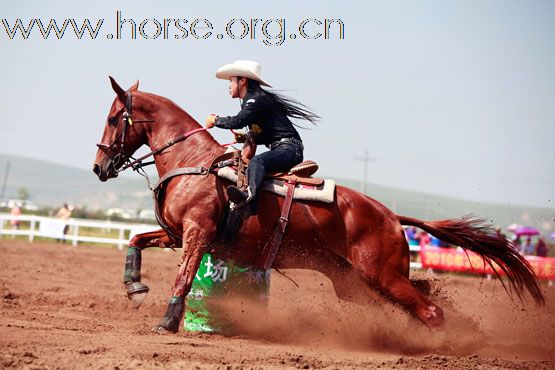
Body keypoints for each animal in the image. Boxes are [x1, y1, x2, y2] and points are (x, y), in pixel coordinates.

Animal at [93, 77, 544, 332]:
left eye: (115, 119)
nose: (99, 167)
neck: (194, 163)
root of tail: (391, 216)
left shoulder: (196, 234)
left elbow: (184, 278)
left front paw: (167, 322)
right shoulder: (174, 234)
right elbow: (135, 240)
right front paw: (135, 287)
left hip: (381, 275)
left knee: (430, 310)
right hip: (358, 283)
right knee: (426, 300)